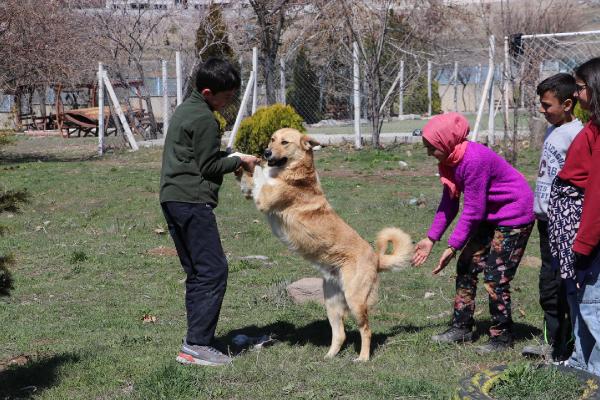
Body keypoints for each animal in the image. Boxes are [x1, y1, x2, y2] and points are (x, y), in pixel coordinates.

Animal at [239, 129, 412, 362]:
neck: (295, 174)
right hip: (331, 303)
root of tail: (376, 258)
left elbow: (260, 174)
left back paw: (363, 358)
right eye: (272, 140)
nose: (266, 152)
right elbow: (251, 179)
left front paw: (243, 157)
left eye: (285, 142)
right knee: (340, 334)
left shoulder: (264, 200)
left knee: (366, 330)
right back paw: (329, 356)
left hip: (355, 301)